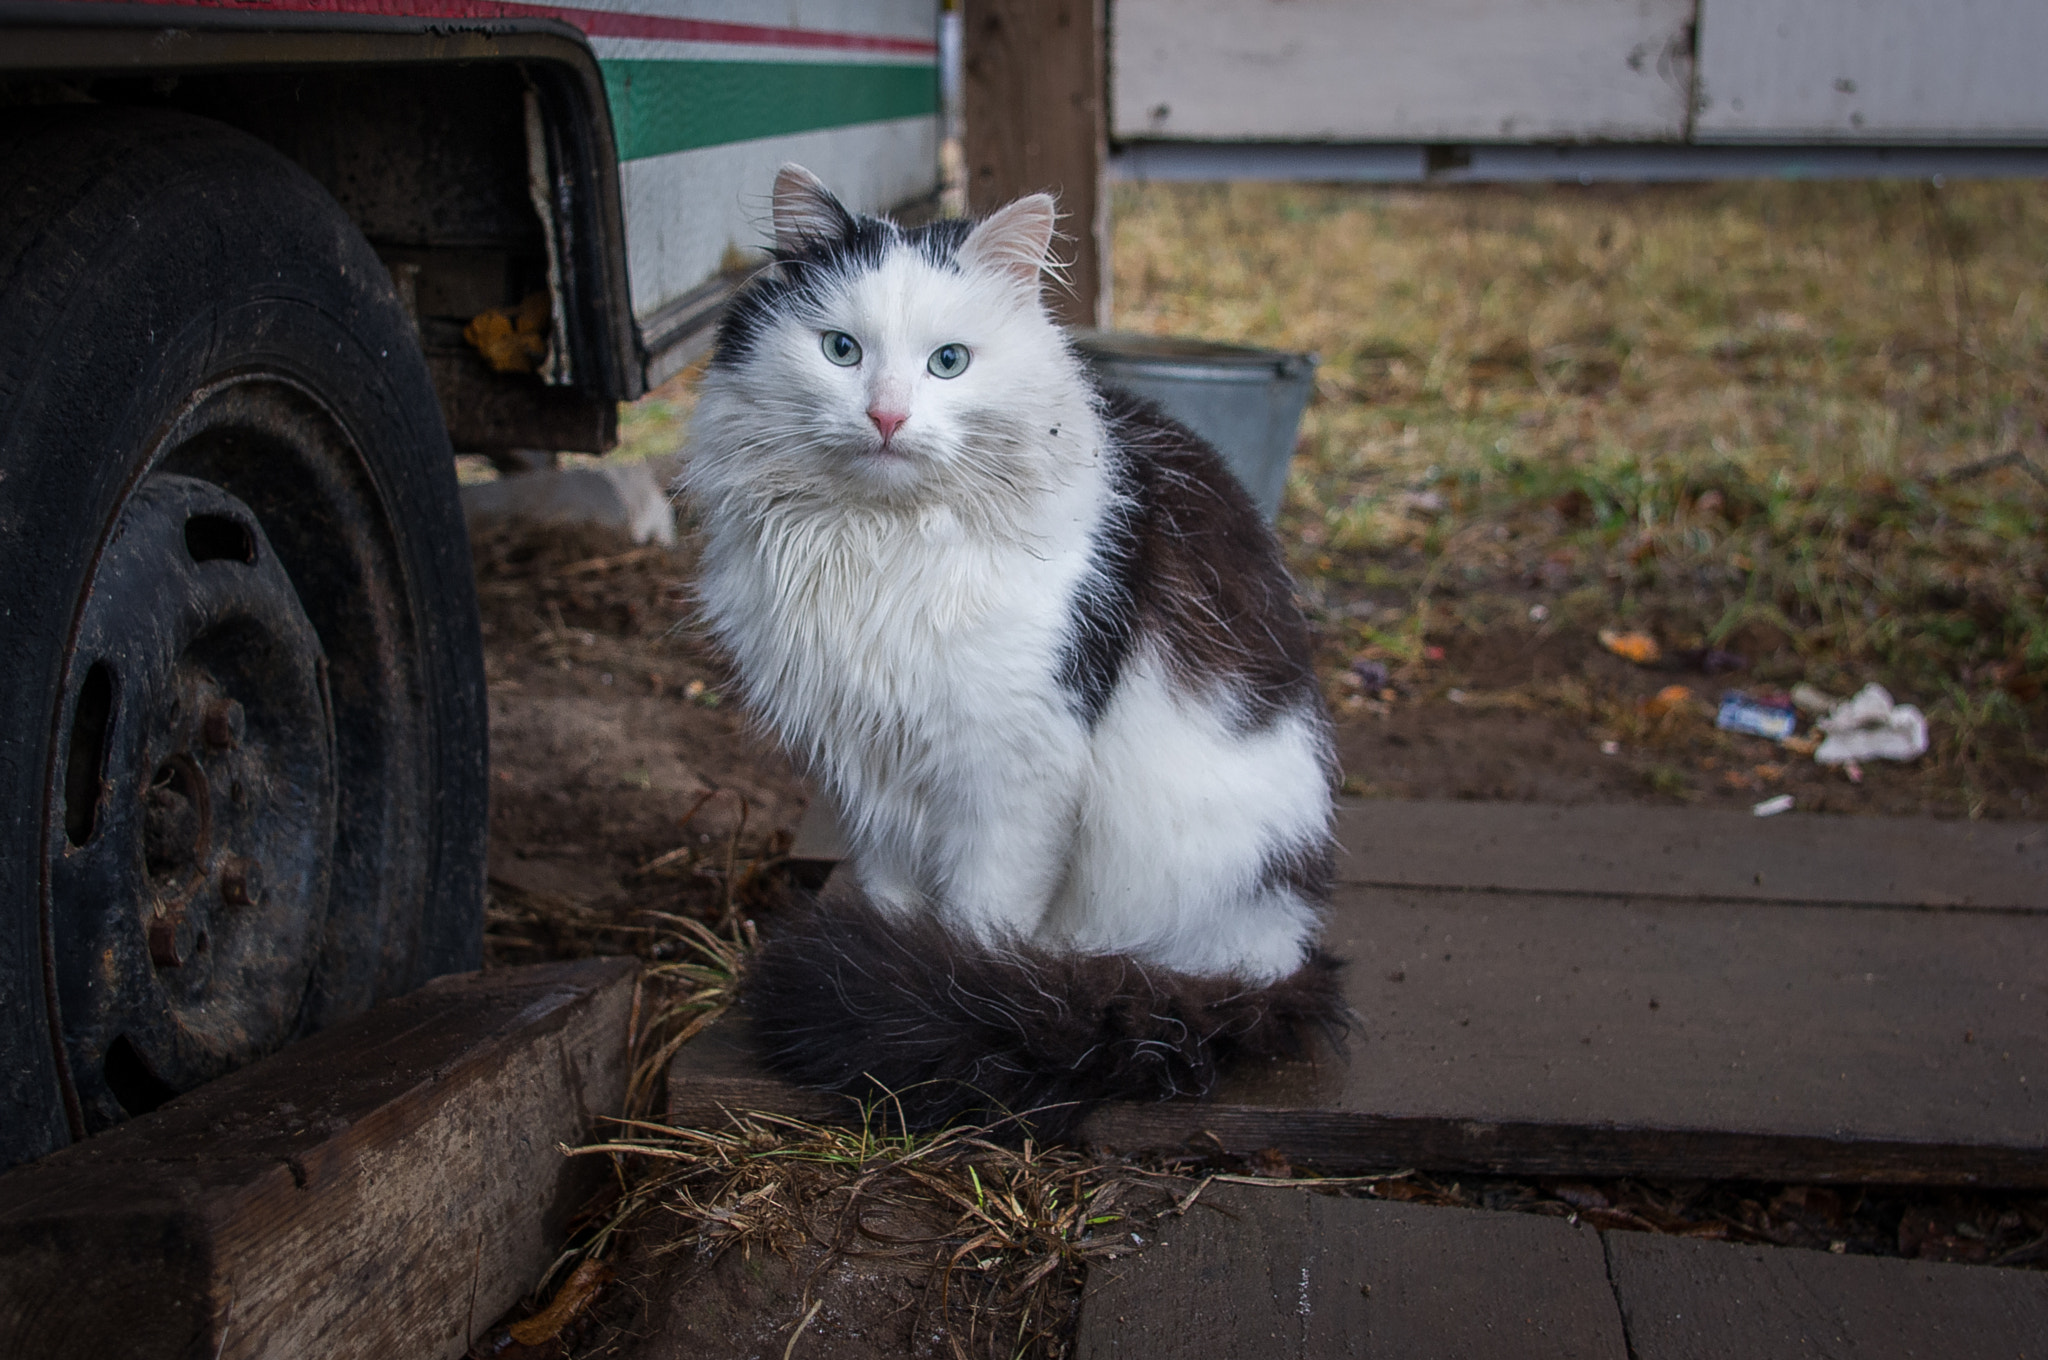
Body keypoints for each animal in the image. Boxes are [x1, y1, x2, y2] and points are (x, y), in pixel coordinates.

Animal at [679, 161, 1335, 1138]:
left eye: (948, 362)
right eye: (841, 350)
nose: (886, 416)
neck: (882, 545)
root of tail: (1290, 943)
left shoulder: (1016, 769)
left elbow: (978, 929)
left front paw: (946, 991)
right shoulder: (868, 766)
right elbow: (896, 904)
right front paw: (887, 957)